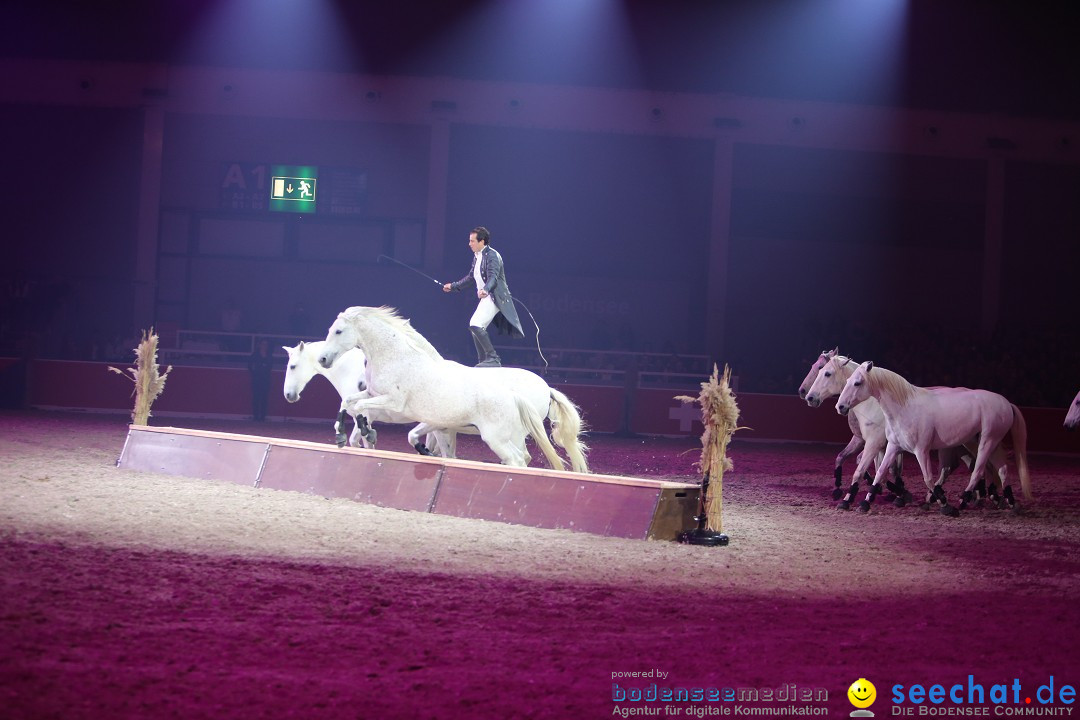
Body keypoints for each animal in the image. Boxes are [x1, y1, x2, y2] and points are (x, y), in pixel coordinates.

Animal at [282, 343, 451, 455]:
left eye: (292, 366)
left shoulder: (366, 417)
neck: (349, 372)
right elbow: (357, 442)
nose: (288, 395)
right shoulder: (360, 418)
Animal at [317, 308, 591, 472]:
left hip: (499, 437)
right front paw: (340, 433)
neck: (398, 358)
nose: (322, 359)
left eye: (338, 331)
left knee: (517, 460)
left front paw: (368, 433)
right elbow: (348, 403)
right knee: (519, 459)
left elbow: (361, 410)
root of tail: (515, 395)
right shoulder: (375, 396)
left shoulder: (393, 403)